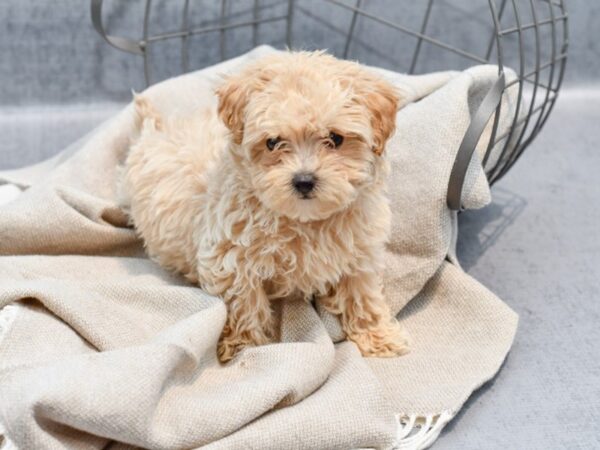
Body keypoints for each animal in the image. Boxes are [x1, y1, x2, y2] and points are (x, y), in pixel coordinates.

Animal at [123, 51, 410, 362]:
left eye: (335, 138)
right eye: (273, 142)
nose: (304, 180)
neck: (305, 222)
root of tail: (155, 130)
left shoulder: (360, 251)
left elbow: (362, 295)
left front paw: (378, 337)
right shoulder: (231, 257)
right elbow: (244, 302)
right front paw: (243, 347)